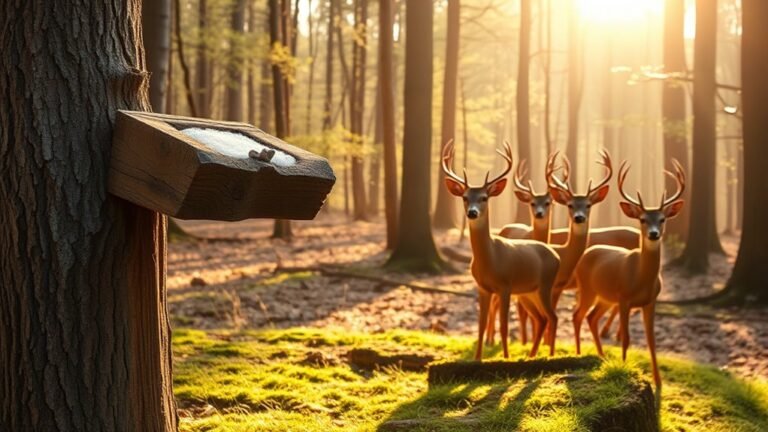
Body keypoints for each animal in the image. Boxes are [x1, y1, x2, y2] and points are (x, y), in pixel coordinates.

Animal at [441, 140, 560, 360]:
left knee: (553, 316)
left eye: (484, 197)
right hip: (529, 292)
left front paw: (506, 357)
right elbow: (480, 325)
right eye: (464, 197)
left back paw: (549, 355)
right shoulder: (483, 288)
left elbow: (504, 325)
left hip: (545, 285)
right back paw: (532, 355)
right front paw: (477, 358)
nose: (472, 213)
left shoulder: (505, 286)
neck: (491, 260)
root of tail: (556, 255)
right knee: (542, 318)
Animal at [571, 159, 685, 388]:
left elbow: (651, 340)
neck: (641, 279)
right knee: (578, 315)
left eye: (662, 219)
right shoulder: (624, 299)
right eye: (642, 219)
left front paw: (658, 382)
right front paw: (624, 369)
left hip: (605, 298)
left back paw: (602, 355)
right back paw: (580, 353)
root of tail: (585, 253)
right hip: (588, 289)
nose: (653, 234)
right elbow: (626, 338)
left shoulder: (650, 301)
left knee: (591, 317)